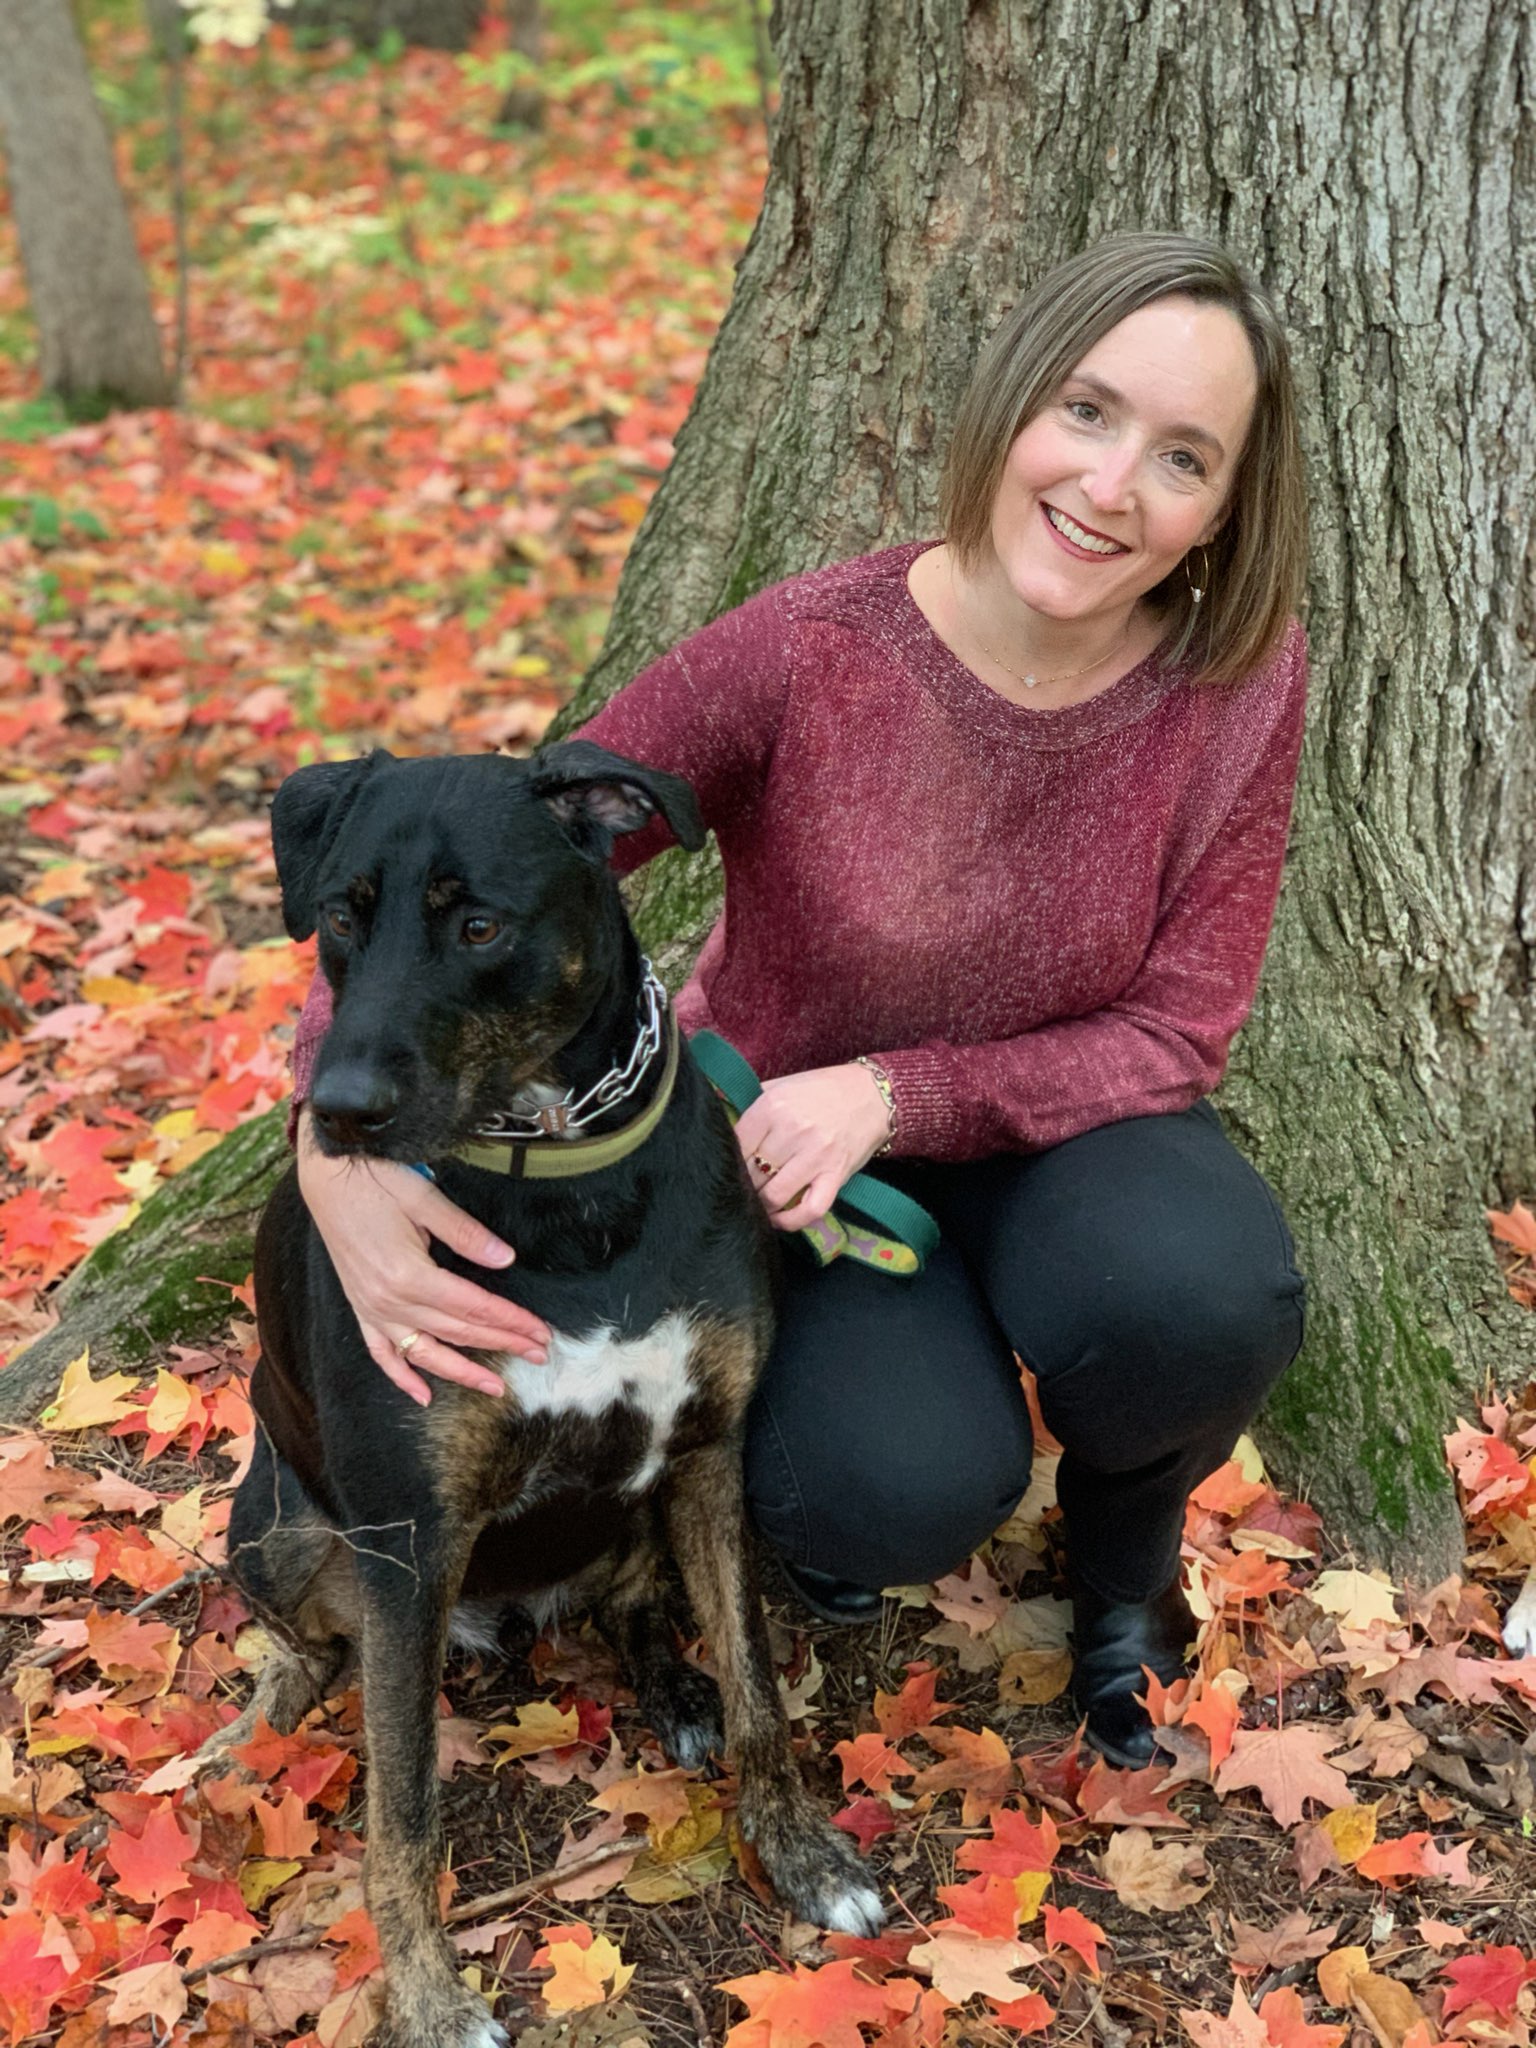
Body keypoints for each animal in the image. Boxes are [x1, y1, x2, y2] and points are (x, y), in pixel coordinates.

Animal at [202, 749, 876, 2048]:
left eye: (477, 925)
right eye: (343, 918)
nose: (336, 1111)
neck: (560, 1168)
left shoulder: (710, 1447)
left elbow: (761, 1687)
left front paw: (805, 1852)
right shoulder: (409, 1536)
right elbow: (400, 1812)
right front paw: (427, 1998)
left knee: (636, 1605)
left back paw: (672, 1684)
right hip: (273, 1524)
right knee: (306, 1646)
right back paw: (254, 1722)